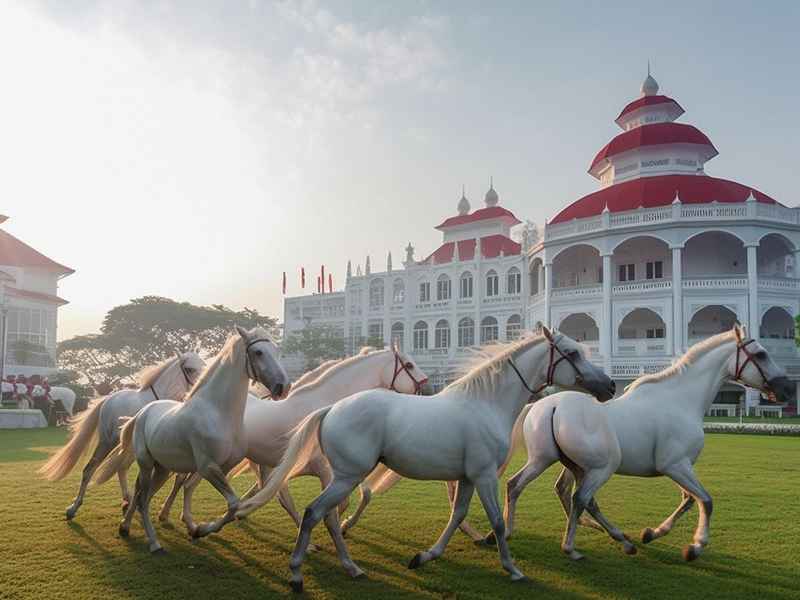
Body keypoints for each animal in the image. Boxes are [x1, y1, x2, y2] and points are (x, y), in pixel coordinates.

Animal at [38, 351, 206, 520]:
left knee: (121, 468)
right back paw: (74, 507)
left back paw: (127, 501)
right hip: (107, 442)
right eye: (189, 369)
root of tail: (108, 399)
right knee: (90, 470)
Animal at [91, 326, 290, 553]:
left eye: (277, 351)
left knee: (143, 494)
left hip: (162, 469)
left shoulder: (223, 467)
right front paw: (199, 528)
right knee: (141, 498)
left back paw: (125, 527)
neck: (218, 414)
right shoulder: (207, 467)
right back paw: (153, 543)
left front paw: (197, 529)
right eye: (258, 352)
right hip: (146, 464)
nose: (283, 386)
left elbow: (228, 504)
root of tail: (143, 412)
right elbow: (233, 503)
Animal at [158, 345, 427, 539]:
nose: (425, 387)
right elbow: (334, 504)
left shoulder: (344, 470)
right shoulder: (327, 470)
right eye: (409, 365)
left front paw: (343, 526)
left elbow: (361, 496)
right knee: (187, 482)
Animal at [235, 327, 615, 591]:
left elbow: (457, 514)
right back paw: (298, 573)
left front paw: (425, 556)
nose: (610, 386)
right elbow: (497, 522)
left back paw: (349, 566)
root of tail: (330, 409)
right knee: (315, 512)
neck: (485, 403)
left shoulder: (467, 478)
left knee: (323, 513)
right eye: (572, 353)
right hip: (346, 477)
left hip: (343, 477)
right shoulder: (484, 476)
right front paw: (513, 569)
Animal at [497, 325, 793, 563]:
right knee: (579, 497)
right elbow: (705, 500)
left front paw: (651, 533)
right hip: (596, 467)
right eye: (761, 354)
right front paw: (695, 547)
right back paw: (579, 544)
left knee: (537, 488)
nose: (787, 388)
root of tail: (549, 405)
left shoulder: (679, 468)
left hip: (557, 462)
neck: (680, 400)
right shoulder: (676, 465)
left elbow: (688, 499)